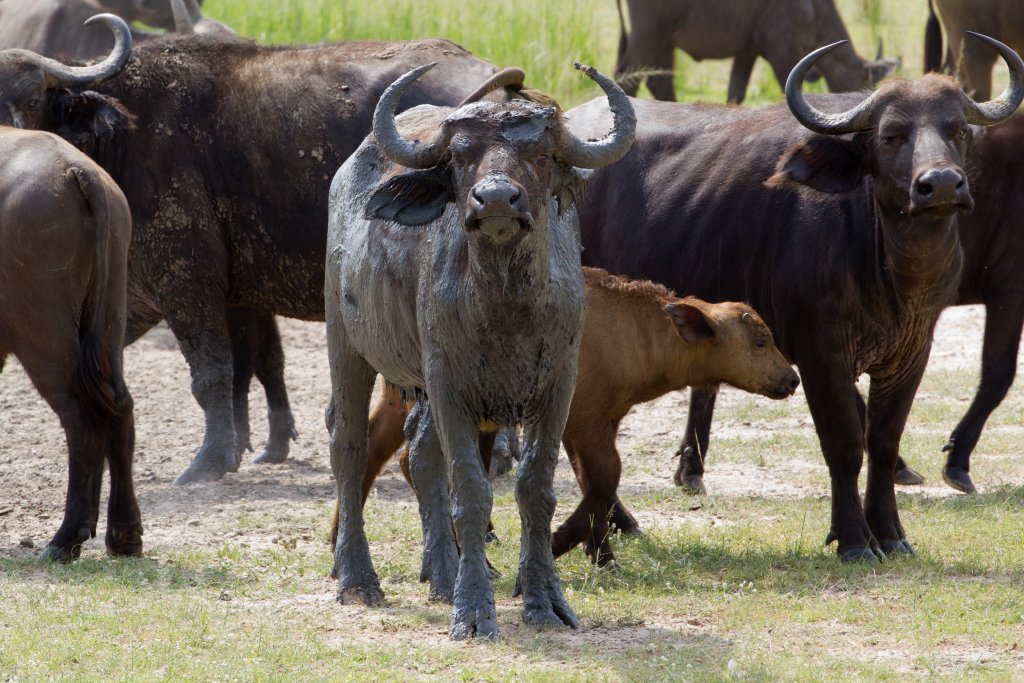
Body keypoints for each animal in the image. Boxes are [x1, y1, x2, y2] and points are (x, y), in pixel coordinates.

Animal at [0, 14, 537, 485]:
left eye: (32, 96)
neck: (126, 135)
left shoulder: (186, 280)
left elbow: (212, 373)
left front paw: (209, 461)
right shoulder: (228, 296)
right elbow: (249, 368)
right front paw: (248, 447)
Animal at [0, 127, 139, 562]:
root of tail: (77, 169)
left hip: (39, 316)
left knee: (80, 414)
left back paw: (65, 539)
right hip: (111, 302)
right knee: (117, 403)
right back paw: (124, 536)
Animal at [326, 64, 634, 639]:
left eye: (541, 156)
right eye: (462, 156)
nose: (494, 201)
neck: (505, 303)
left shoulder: (558, 386)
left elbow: (535, 489)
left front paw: (545, 600)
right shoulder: (449, 383)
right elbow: (470, 490)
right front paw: (473, 610)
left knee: (420, 451)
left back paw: (443, 574)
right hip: (345, 341)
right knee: (349, 446)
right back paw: (357, 578)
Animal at [571, 36, 1024, 561]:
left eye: (960, 131)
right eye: (890, 135)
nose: (943, 185)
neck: (889, 269)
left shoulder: (912, 352)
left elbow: (883, 441)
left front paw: (890, 533)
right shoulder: (819, 353)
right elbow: (844, 442)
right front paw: (854, 540)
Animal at [614, 0, 898, 104]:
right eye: (866, 83)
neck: (814, 8)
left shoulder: (747, 52)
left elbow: (736, 93)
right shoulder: (780, 50)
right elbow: (787, 86)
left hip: (665, 43)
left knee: (658, 82)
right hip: (650, 37)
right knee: (629, 79)